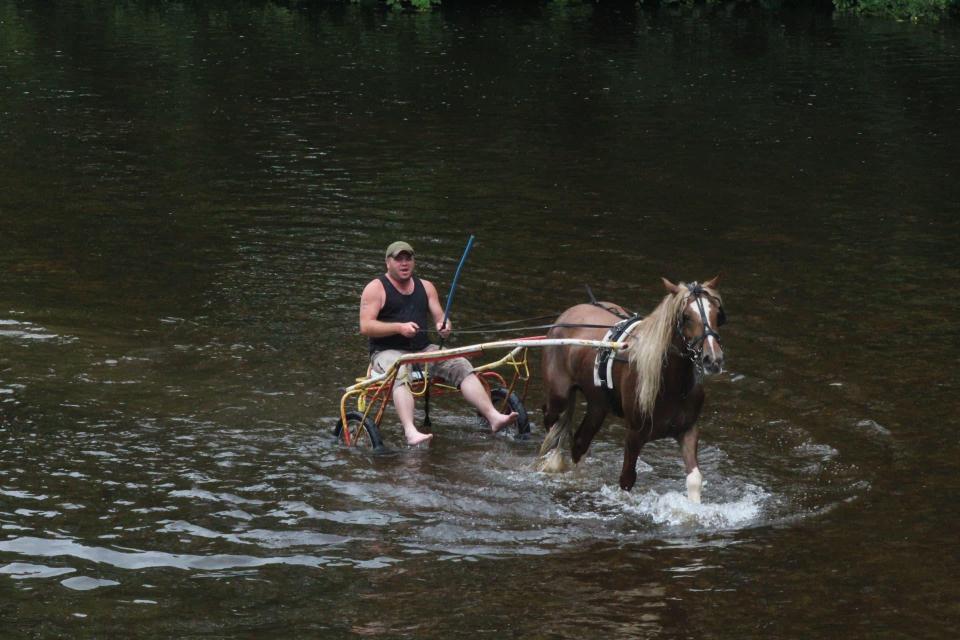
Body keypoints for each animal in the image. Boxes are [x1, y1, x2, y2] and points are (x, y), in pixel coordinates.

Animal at [540, 278, 728, 502]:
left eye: (716, 313)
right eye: (686, 317)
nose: (713, 359)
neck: (671, 383)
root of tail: (568, 314)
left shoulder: (688, 429)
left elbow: (694, 479)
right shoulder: (634, 434)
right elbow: (627, 479)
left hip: (598, 405)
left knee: (579, 442)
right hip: (558, 396)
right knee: (551, 422)